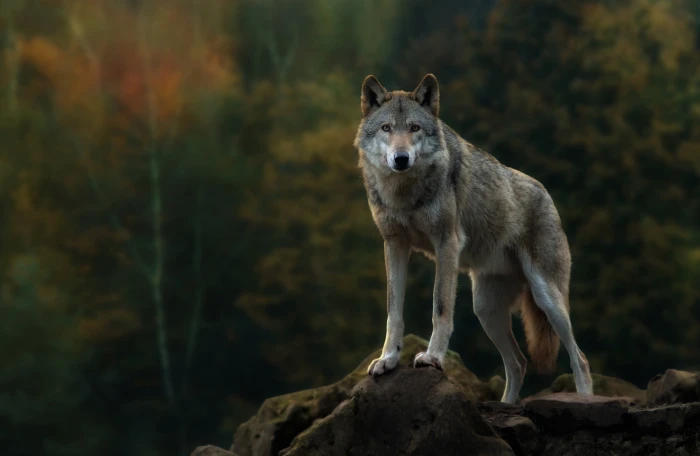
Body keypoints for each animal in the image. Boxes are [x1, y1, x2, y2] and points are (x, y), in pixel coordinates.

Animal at [353, 73, 593, 404]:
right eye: (386, 128)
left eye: (414, 128)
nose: (401, 159)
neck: (404, 194)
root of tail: (547, 195)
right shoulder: (394, 245)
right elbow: (394, 312)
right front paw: (388, 359)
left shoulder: (447, 243)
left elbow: (440, 307)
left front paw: (432, 357)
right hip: (485, 309)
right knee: (518, 363)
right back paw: (506, 404)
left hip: (547, 298)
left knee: (579, 358)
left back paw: (585, 399)